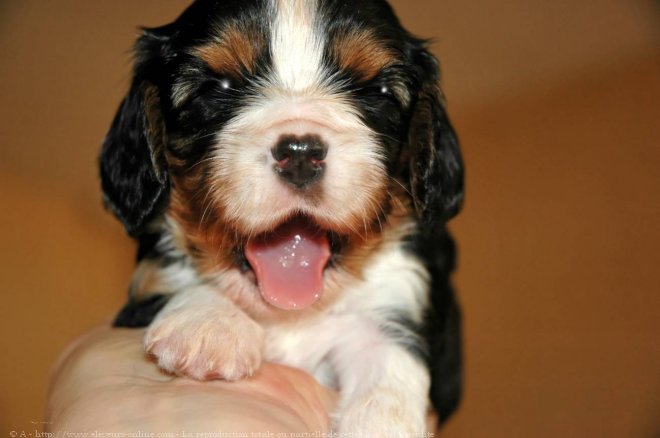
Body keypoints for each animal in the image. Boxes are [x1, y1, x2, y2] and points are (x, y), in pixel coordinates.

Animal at [100, 0, 462, 432]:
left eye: (378, 93)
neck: (290, 316)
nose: (301, 153)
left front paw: (380, 422)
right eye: (217, 88)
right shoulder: (141, 291)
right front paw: (208, 322)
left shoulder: (398, 297)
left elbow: (389, 358)